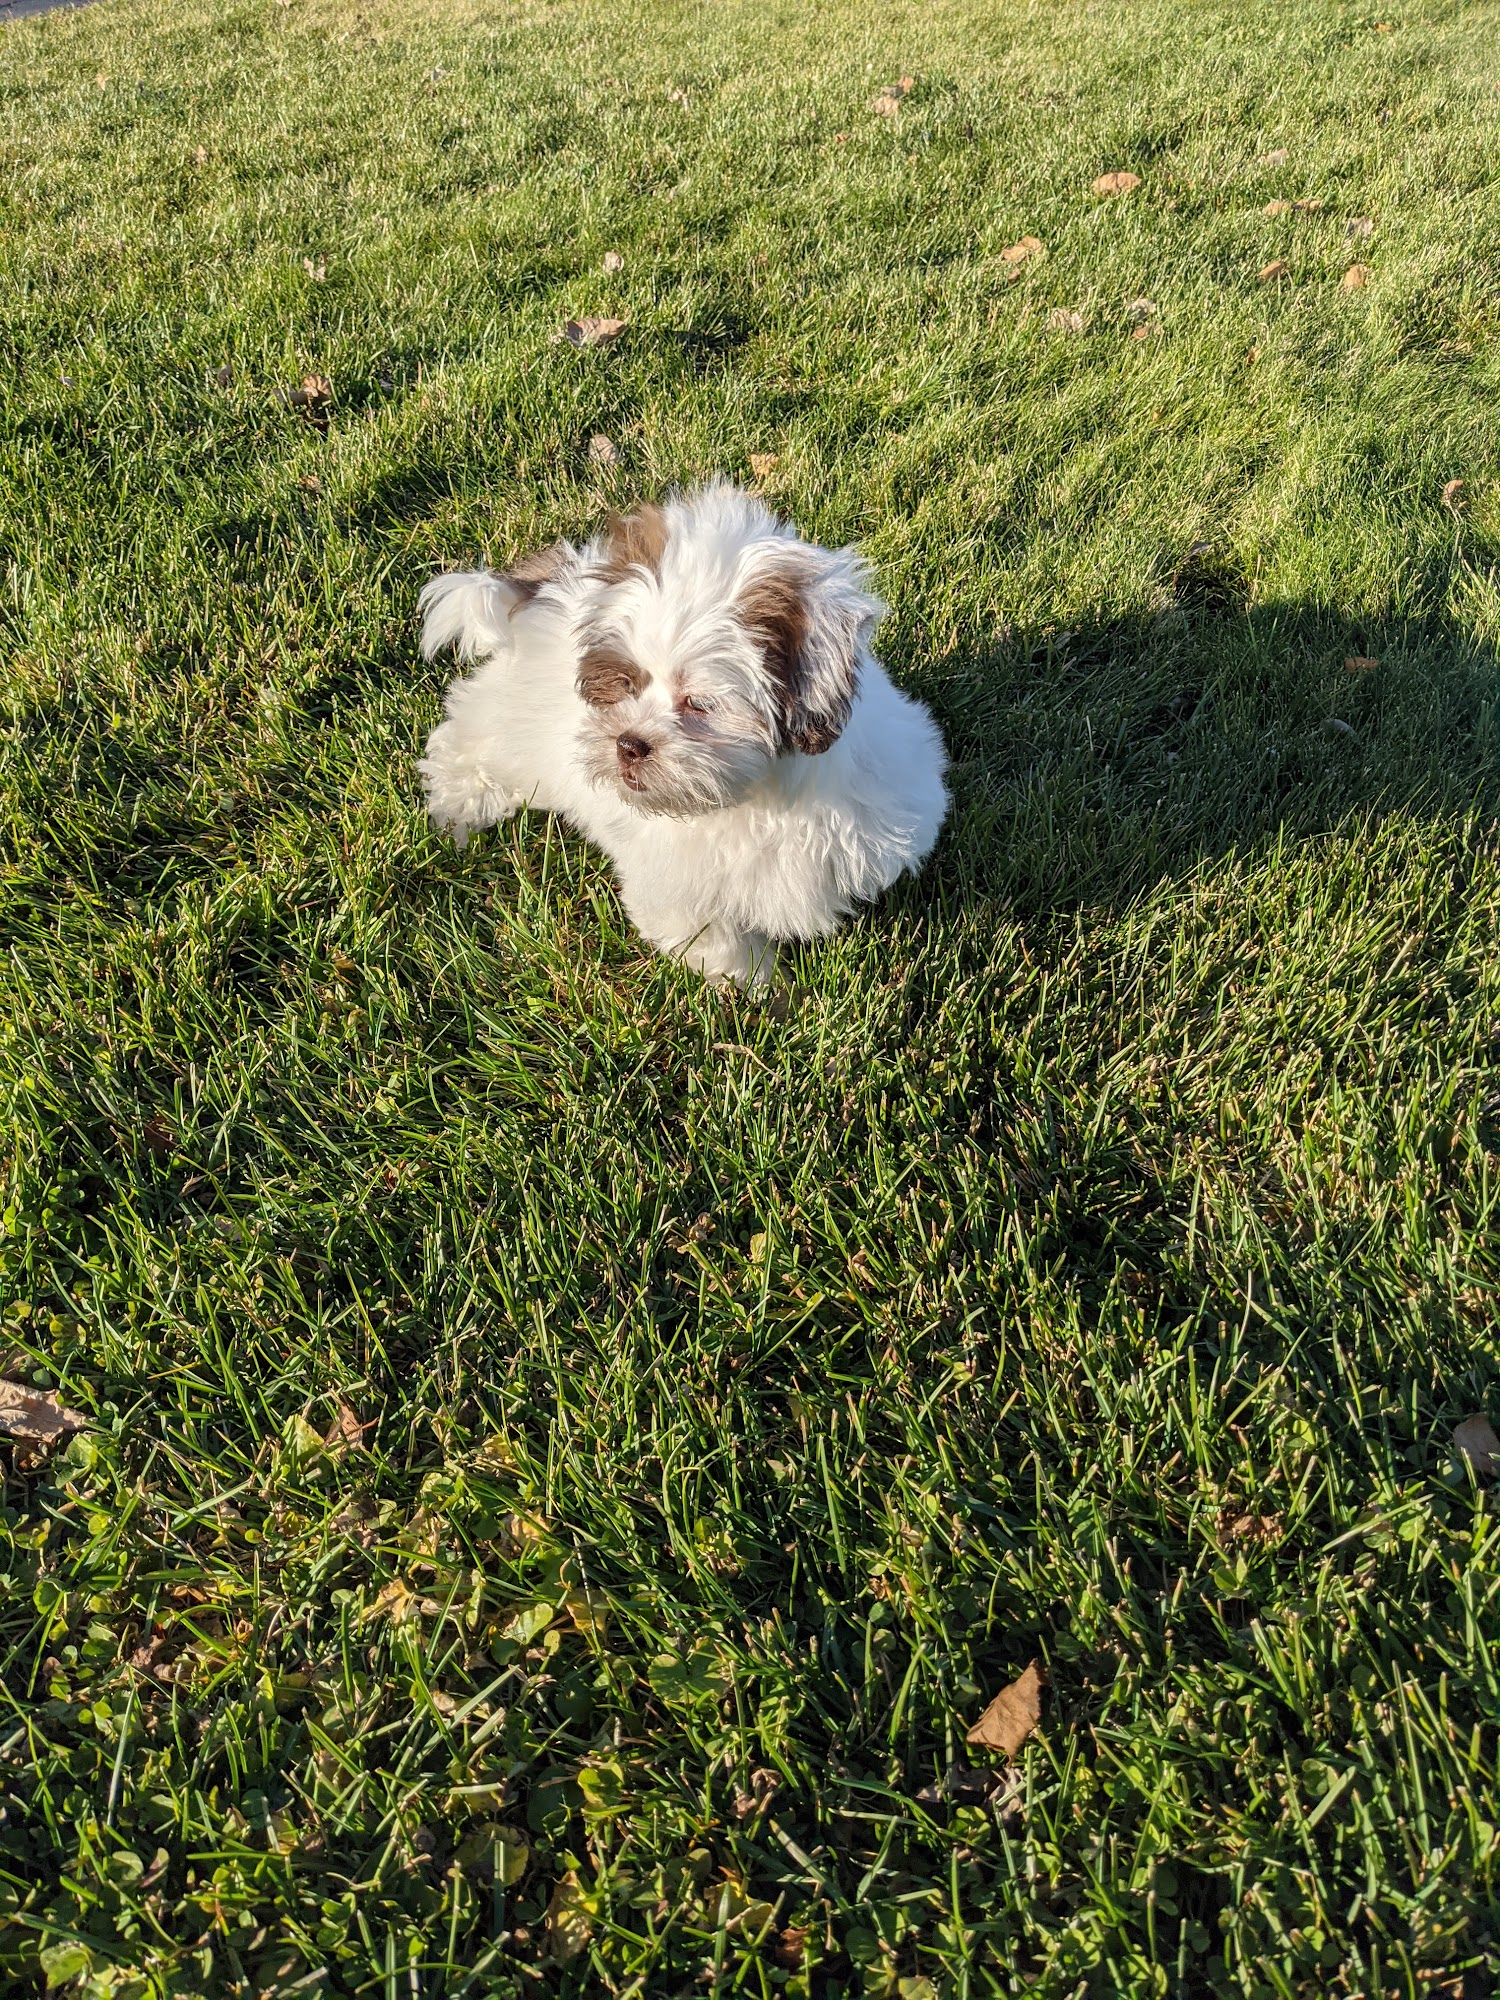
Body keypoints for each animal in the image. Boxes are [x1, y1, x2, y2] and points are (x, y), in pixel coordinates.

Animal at [418, 484, 944, 984]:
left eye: (697, 702)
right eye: (626, 683)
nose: (628, 742)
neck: (754, 800)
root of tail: (542, 590)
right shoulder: (679, 891)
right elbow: (717, 941)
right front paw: (761, 989)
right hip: (512, 730)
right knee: (468, 746)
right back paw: (457, 814)